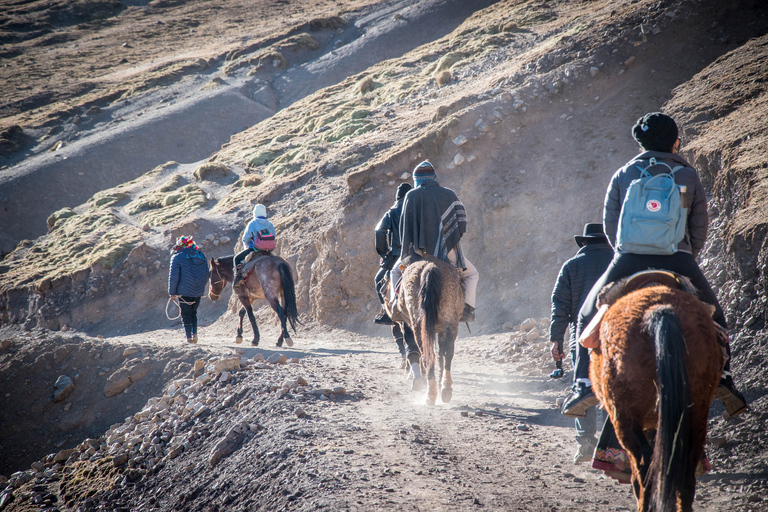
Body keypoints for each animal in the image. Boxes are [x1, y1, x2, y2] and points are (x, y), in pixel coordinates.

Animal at [388, 254, 464, 406]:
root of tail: (430, 267)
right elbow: (441, 354)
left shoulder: (408, 324)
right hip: (451, 322)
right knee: (448, 353)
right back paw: (445, 389)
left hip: (418, 325)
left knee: (425, 354)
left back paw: (429, 394)